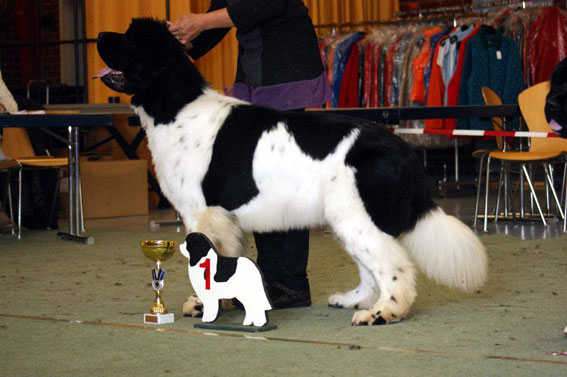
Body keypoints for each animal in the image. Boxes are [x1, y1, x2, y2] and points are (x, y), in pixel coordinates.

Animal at [97, 17, 488, 324]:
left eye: (129, 39)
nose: (99, 35)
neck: (176, 107)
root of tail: (401, 147)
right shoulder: (224, 219)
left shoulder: (203, 213)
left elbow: (206, 260)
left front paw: (202, 305)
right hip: (344, 217)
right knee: (370, 267)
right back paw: (352, 300)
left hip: (356, 216)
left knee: (393, 266)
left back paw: (383, 312)